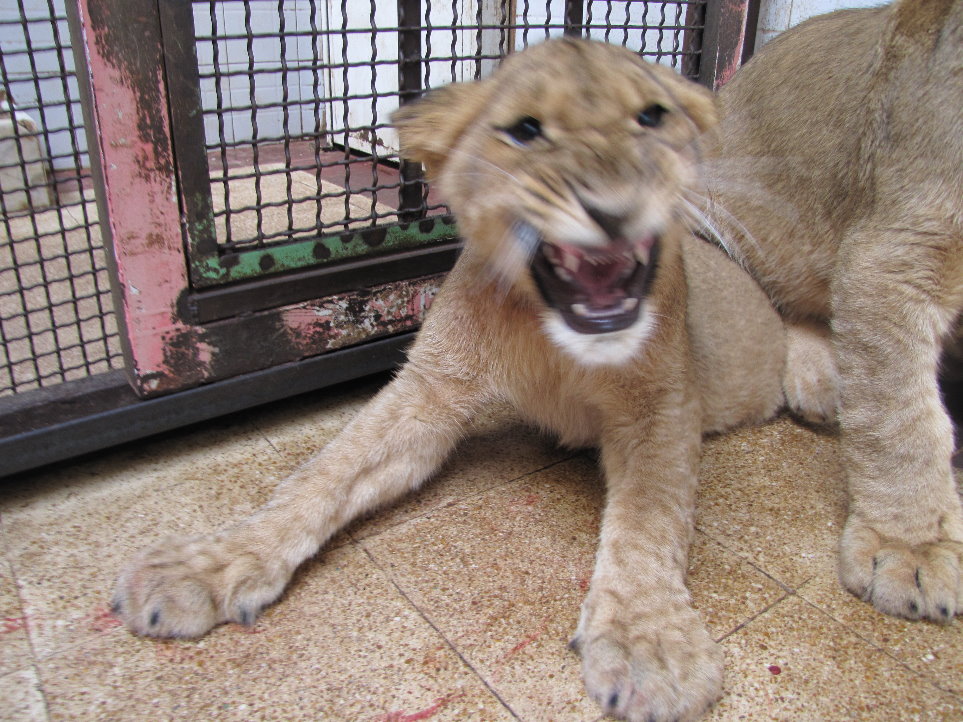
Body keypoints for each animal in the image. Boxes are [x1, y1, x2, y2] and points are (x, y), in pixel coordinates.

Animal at [112, 39, 823, 721]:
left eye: (652, 117)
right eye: (526, 130)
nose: (615, 206)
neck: (550, 333)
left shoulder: (663, 405)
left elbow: (650, 521)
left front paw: (650, 646)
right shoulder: (430, 391)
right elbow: (323, 473)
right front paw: (206, 566)